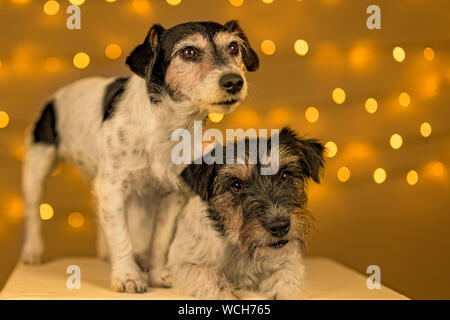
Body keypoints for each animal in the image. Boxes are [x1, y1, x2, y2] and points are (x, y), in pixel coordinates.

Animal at [20, 20, 260, 292]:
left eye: (233, 48)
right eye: (188, 52)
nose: (234, 81)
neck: (164, 126)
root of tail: (54, 98)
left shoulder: (172, 195)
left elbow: (160, 241)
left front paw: (157, 274)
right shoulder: (113, 188)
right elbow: (121, 236)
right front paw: (127, 276)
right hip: (37, 168)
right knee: (33, 213)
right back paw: (32, 251)